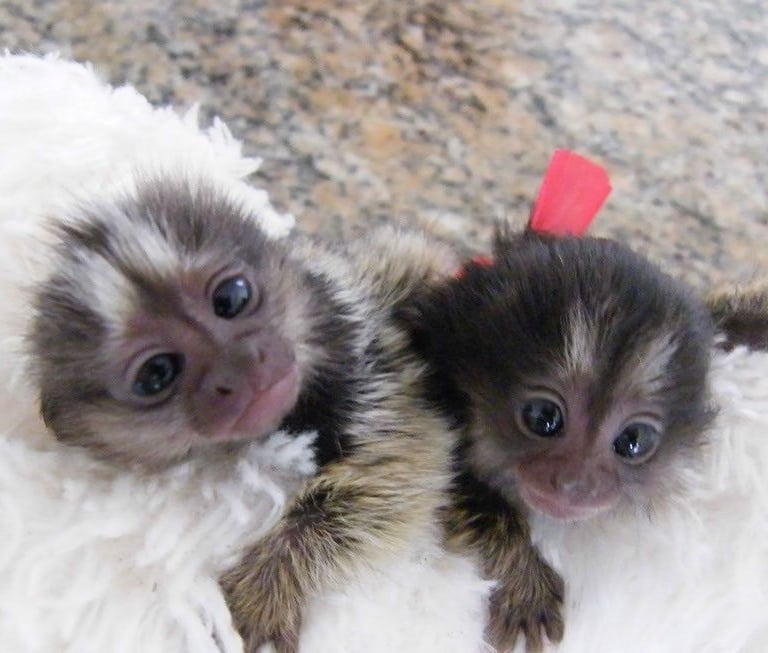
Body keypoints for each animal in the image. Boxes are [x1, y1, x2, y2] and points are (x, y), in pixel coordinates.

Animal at [26, 179, 564, 653]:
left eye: (231, 298)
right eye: (157, 374)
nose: (240, 363)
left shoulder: (373, 362)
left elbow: (399, 467)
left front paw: (269, 582)